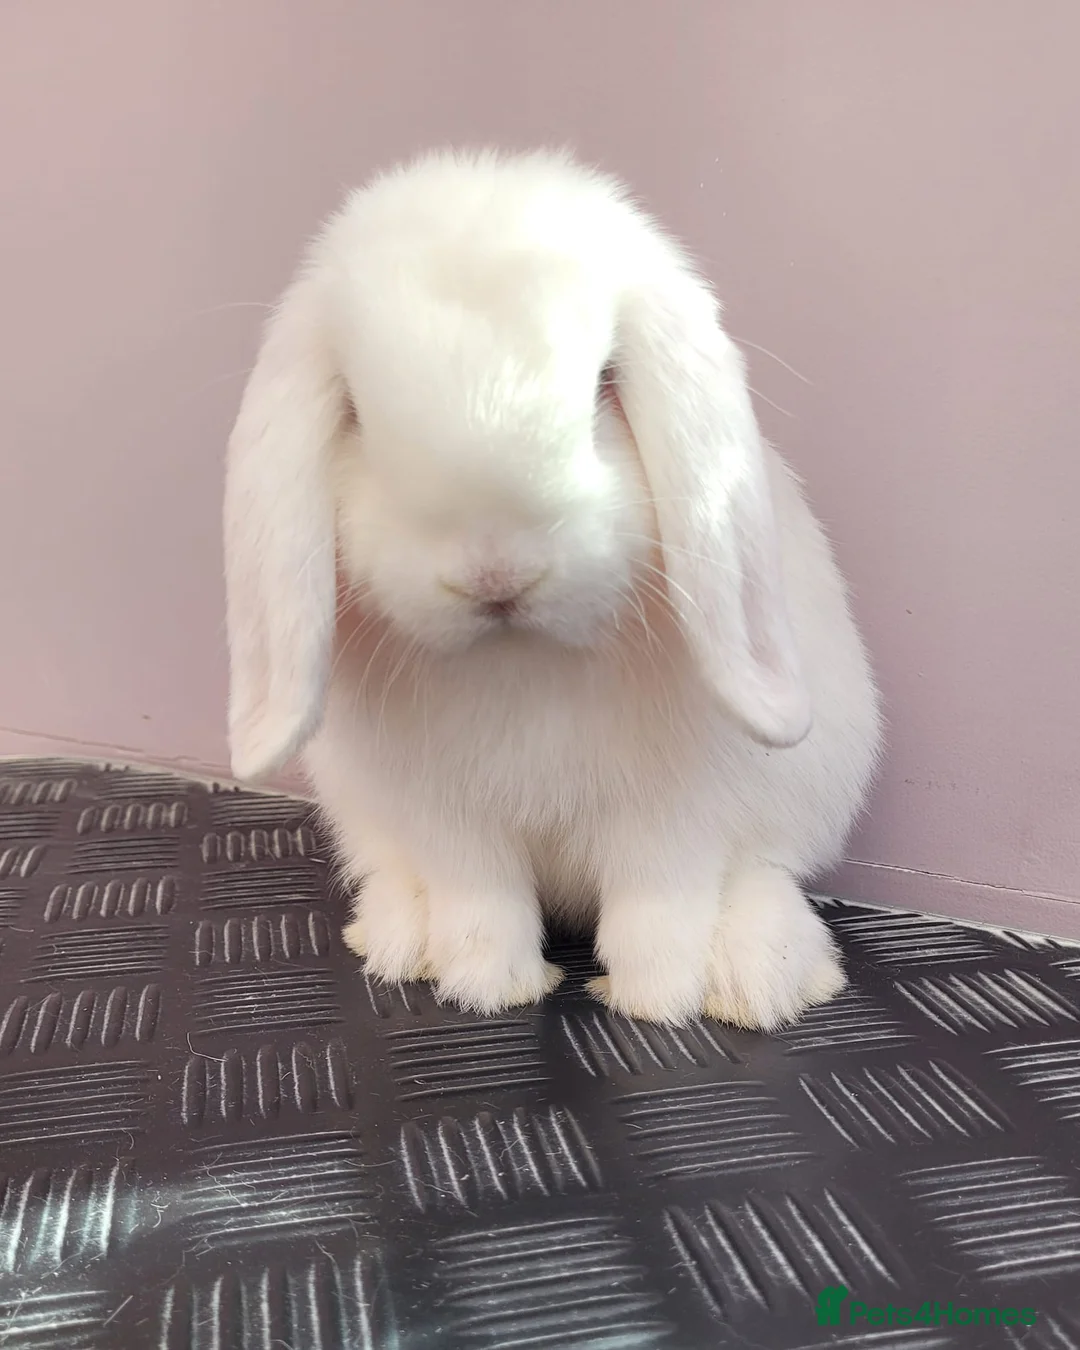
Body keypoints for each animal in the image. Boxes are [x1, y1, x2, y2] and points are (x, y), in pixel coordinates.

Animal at [224, 147, 882, 1029]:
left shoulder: (675, 816)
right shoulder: (451, 822)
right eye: (356, 412)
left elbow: (660, 909)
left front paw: (656, 1002)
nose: (496, 573)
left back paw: (759, 980)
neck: (522, 659)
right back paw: (399, 940)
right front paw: (490, 988)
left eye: (605, 382)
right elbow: (480, 906)